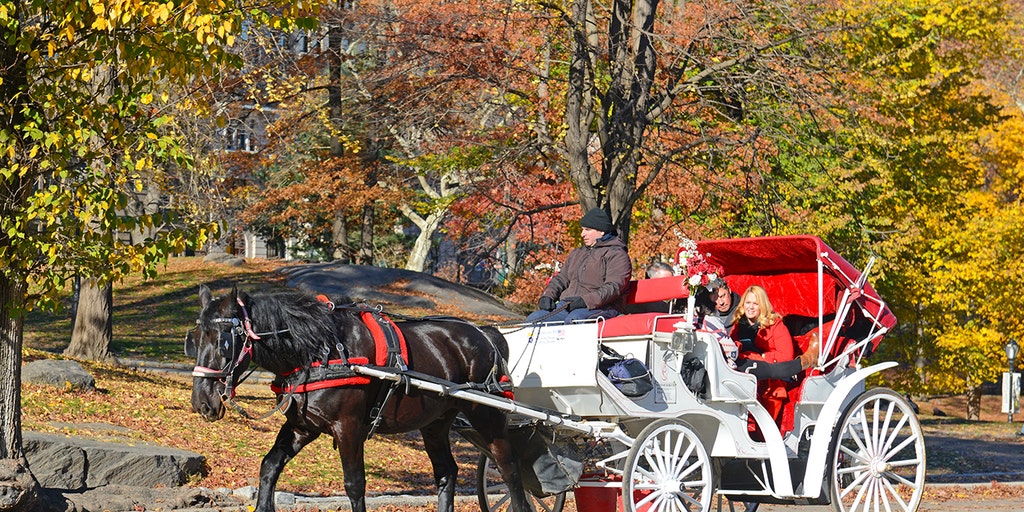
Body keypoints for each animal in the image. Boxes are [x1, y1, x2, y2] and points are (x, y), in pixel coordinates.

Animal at [188, 284, 532, 512]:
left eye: (222, 340)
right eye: (194, 339)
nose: (202, 402)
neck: (322, 350)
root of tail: (485, 334)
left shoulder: (349, 427)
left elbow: (355, 484)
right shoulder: (302, 425)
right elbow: (269, 466)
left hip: (486, 416)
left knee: (510, 469)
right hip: (435, 423)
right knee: (447, 472)